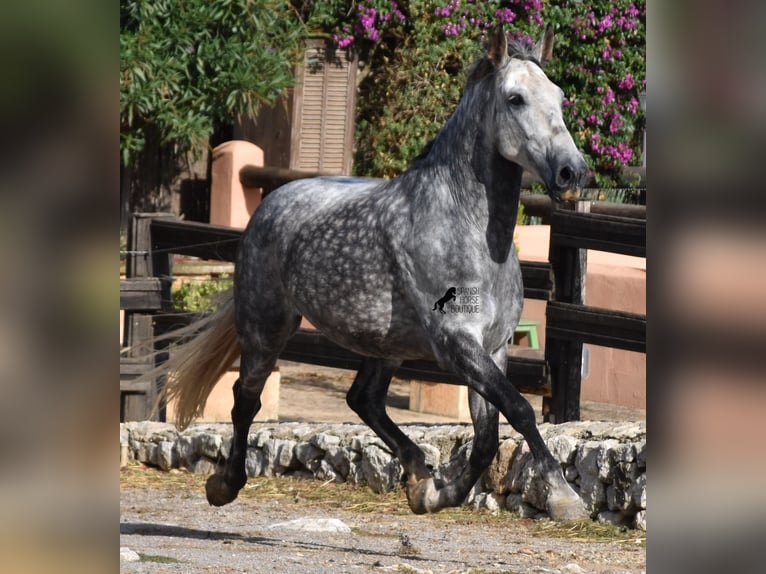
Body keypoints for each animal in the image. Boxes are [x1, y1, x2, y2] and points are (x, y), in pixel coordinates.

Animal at [165, 25, 592, 520]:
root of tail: (273, 201)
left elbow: (487, 437)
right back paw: (224, 485)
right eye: (515, 98)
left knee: (362, 398)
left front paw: (436, 493)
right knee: (245, 400)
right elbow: (520, 409)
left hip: (383, 344)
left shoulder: (494, 348)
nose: (572, 172)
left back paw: (419, 473)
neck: (466, 229)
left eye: (560, 97)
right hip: (265, 330)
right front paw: (564, 495)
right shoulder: (457, 344)